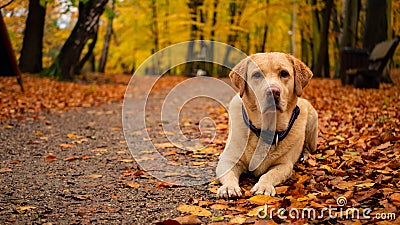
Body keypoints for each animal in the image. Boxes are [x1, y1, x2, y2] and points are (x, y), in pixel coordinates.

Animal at [217, 52, 318, 199]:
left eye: (284, 73)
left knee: (308, 148)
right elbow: (228, 174)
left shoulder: (284, 165)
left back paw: (305, 156)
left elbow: (269, 174)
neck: (265, 128)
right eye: (257, 75)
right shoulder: (229, 160)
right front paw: (229, 187)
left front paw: (263, 186)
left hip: (312, 121)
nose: (273, 92)